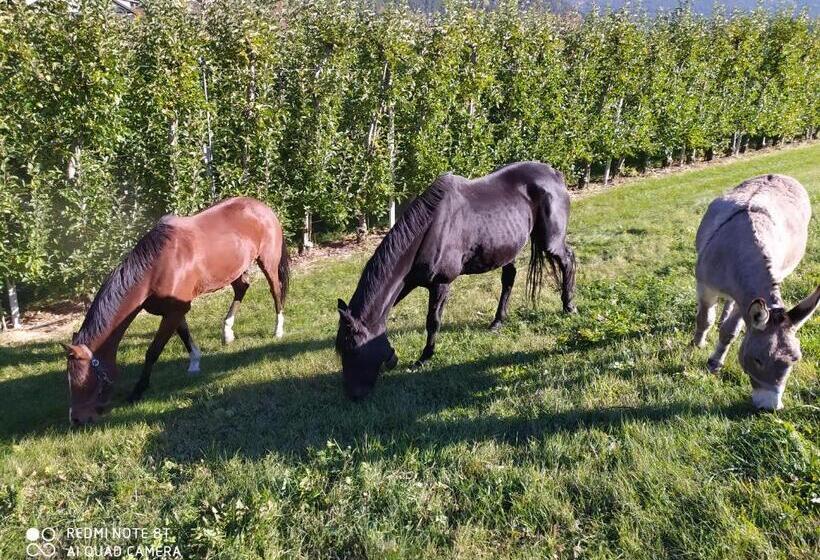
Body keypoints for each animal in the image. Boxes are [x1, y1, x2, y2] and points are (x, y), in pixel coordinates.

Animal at [62, 197, 289, 425]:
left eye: (85, 380)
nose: (76, 419)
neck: (156, 267)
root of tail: (262, 206)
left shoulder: (176, 310)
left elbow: (153, 351)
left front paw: (137, 391)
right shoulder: (173, 310)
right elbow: (185, 335)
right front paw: (195, 364)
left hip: (268, 261)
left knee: (276, 291)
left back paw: (278, 330)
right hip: (234, 269)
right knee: (242, 288)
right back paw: (227, 332)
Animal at [336, 161, 577, 400]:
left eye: (354, 350)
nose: (353, 395)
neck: (430, 230)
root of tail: (555, 174)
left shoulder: (441, 284)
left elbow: (433, 322)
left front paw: (424, 358)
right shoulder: (407, 283)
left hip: (550, 241)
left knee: (568, 260)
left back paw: (569, 306)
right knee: (509, 279)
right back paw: (497, 322)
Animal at [693, 174, 819, 411]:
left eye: (795, 360)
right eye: (758, 360)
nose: (769, 408)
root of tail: (777, 174)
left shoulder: (745, 301)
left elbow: (730, 331)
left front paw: (715, 362)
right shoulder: (705, 288)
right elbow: (704, 320)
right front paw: (697, 345)